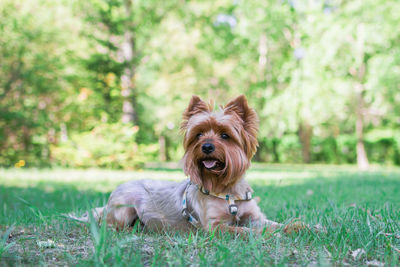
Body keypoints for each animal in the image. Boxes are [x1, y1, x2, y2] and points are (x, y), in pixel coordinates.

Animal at [90, 95, 304, 236]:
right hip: (124, 208)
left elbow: (273, 223)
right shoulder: (215, 227)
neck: (228, 191)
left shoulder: (255, 218)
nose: (207, 146)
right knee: (111, 224)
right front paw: (264, 235)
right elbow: (242, 230)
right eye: (199, 134)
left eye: (225, 135)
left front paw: (297, 226)